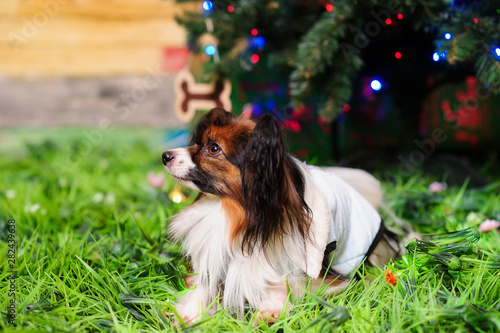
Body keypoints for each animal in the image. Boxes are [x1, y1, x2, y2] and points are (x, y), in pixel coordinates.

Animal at [162, 107, 400, 322]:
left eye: (213, 148)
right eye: (198, 142)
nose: (165, 156)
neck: (235, 211)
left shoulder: (311, 268)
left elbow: (284, 283)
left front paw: (270, 310)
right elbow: (204, 285)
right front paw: (191, 312)